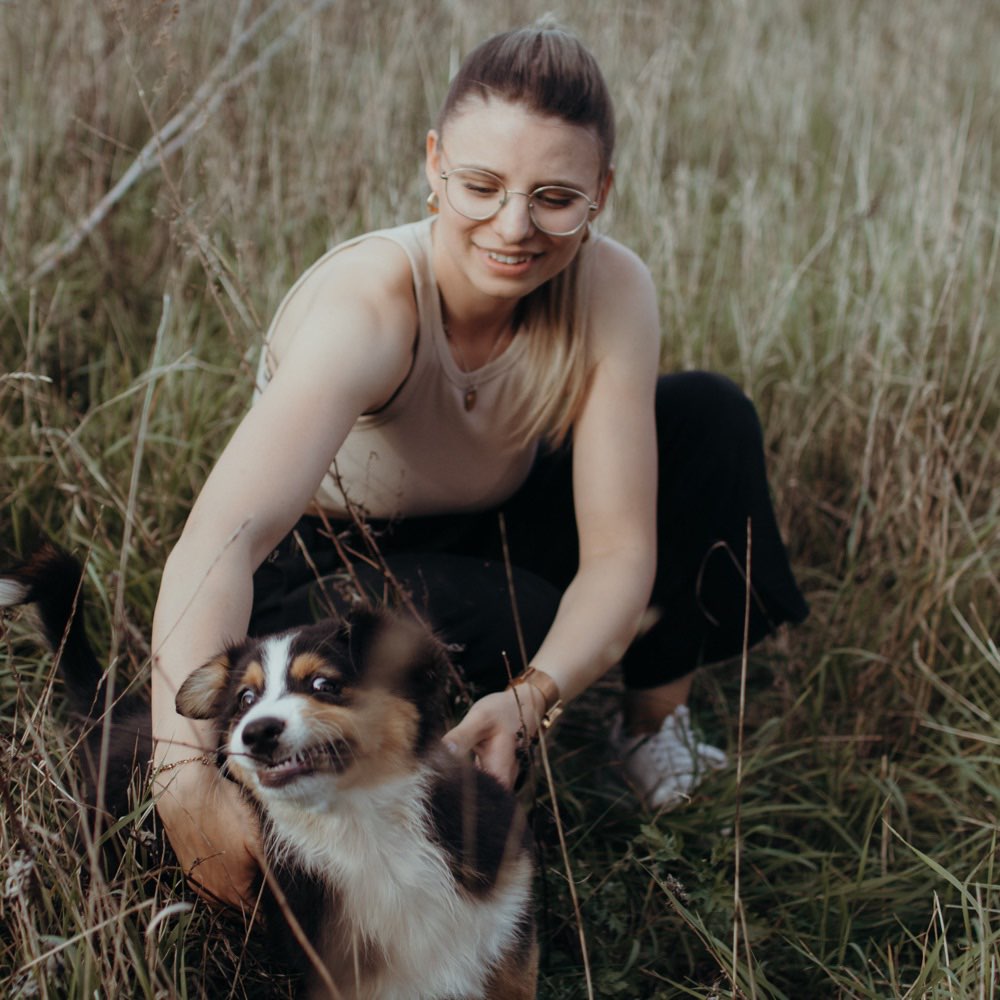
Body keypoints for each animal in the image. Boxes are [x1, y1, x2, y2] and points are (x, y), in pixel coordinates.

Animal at [1, 548, 540, 1000]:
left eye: (323, 684)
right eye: (245, 699)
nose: (256, 733)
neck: (363, 830)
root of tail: (114, 715)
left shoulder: (507, 934)